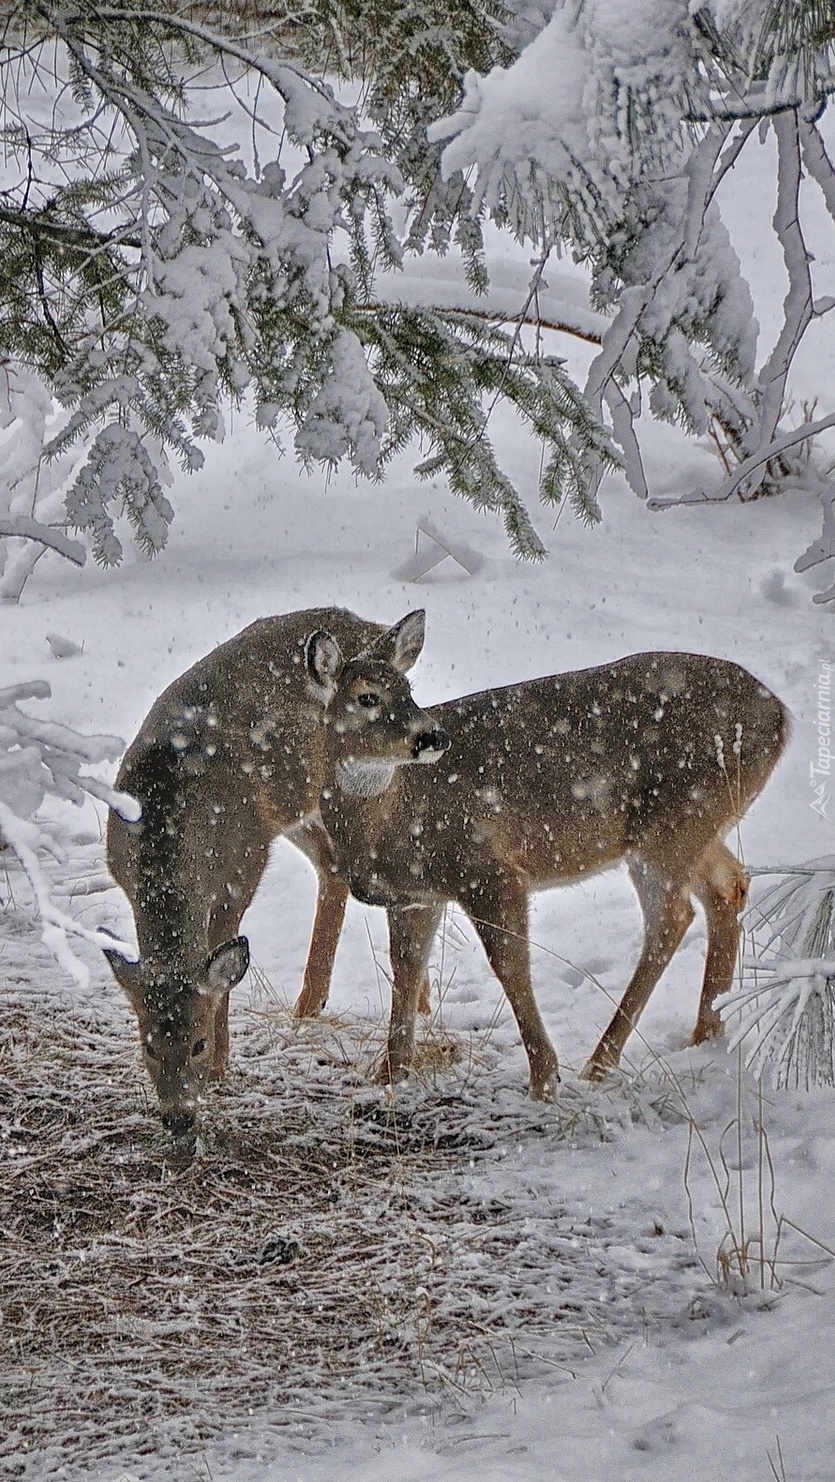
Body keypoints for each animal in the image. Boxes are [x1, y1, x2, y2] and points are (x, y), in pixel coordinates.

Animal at [104, 607, 430, 1138]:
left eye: (195, 1043)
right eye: (148, 1045)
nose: (178, 1118)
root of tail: (372, 629)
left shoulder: (243, 864)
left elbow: (223, 961)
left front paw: (221, 1067)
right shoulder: (122, 875)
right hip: (297, 805)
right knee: (332, 866)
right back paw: (313, 1004)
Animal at [307, 604, 789, 1102]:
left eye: (408, 690)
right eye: (367, 697)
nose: (431, 737)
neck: (391, 818)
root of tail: (781, 715)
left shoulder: (489, 868)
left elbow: (510, 964)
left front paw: (544, 1077)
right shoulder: (414, 896)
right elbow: (405, 969)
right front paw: (387, 1073)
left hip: (673, 823)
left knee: (672, 917)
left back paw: (600, 1062)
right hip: (696, 825)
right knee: (729, 885)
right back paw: (705, 1034)